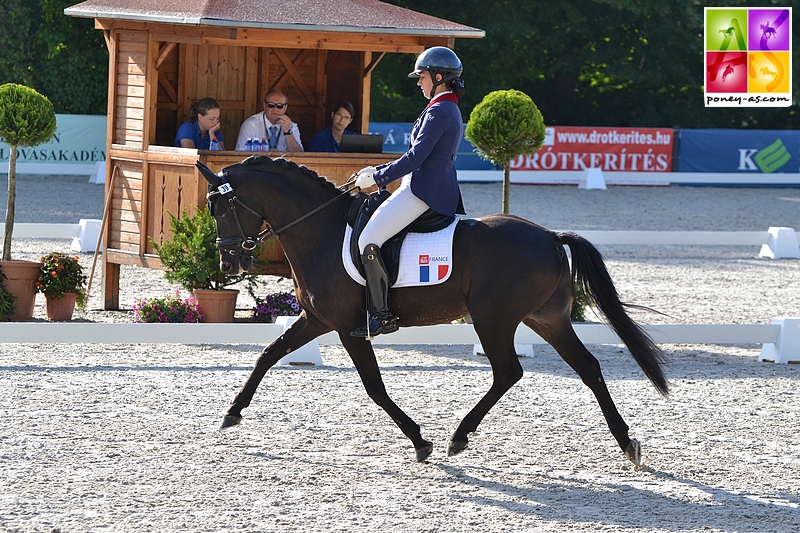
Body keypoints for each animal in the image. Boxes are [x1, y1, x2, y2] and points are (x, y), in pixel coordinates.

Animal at [200, 156, 668, 464]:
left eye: (219, 207)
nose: (228, 264)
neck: (322, 230)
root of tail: (551, 237)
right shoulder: (316, 319)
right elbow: (268, 354)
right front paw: (231, 413)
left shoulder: (349, 327)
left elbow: (374, 387)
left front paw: (419, 441)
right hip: (546, 319)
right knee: (587, 368)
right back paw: (627, 443)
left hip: (493, 319)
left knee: (509, 372)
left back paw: (458, 437)